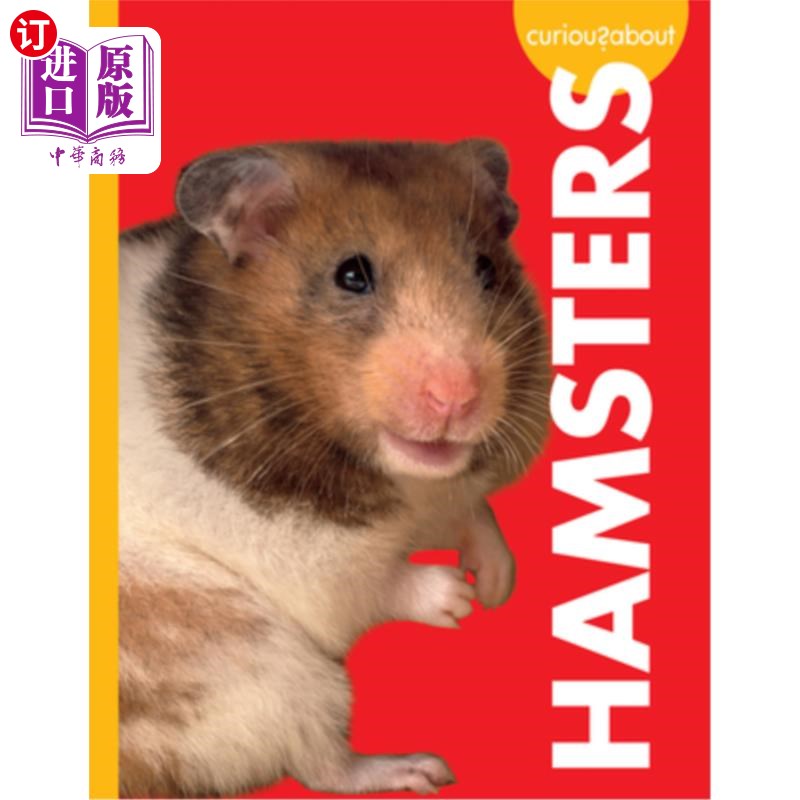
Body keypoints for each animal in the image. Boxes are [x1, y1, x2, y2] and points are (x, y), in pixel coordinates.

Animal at [118, 140, 550, 798]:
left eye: (486, 269)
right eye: (352, 275)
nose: (457, 399)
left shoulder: (441, 496)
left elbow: (473, 510)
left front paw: (497, 586)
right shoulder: (310, 560)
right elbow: (374, 583)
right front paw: (458, 600)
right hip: (259, 663)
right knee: (321, 763)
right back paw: (419, 768)